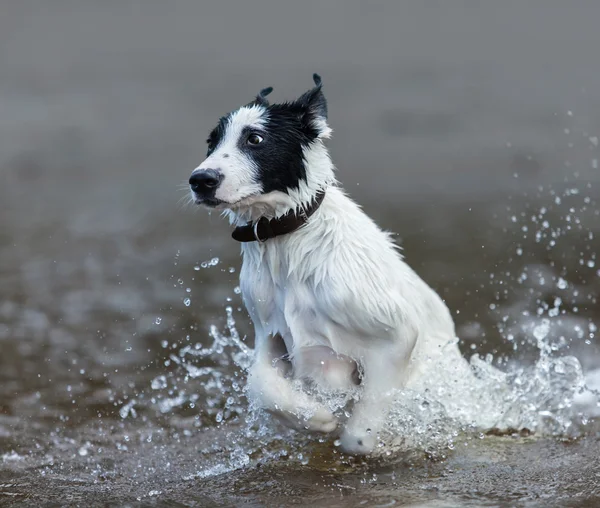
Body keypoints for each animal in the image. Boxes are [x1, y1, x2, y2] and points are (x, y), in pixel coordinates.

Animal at [190, 74, 472, 452]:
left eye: (255, 139)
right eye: (211, 142)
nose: (200, 181)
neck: (291, 242)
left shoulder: (397, 336)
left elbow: (359, 435)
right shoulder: (268, 332)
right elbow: (260, 385)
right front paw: (315, 418)